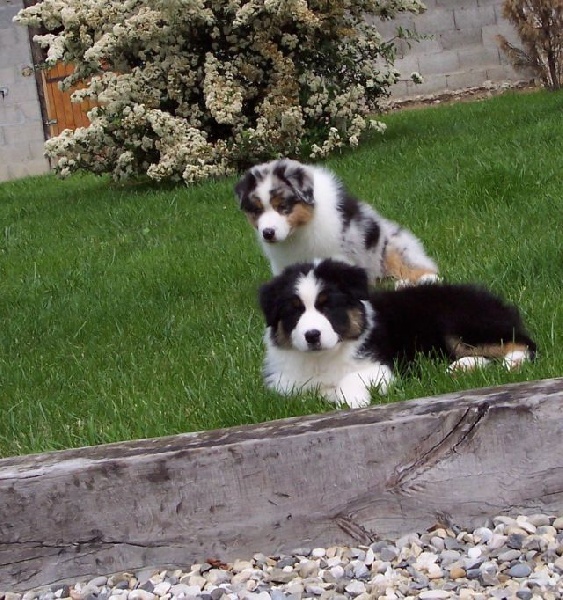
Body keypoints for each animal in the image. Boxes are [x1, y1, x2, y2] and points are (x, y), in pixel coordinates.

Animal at [236, 158, 438, 288]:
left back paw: (417, 281)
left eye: (283, 206)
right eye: (257, 211)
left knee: (422, 268)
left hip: (391, 248)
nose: (268, 233)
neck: (299, 230)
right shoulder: (281, 262)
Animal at [260, 258, 536, 408]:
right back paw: (460, 368)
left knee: (523, 343)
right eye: (294, 311)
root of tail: (493, 299)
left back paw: (513, 363)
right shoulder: (287, 384)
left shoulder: (386, 365)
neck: (322, 359)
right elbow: (303, 392)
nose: (312, 335)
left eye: (327, 306)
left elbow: (351, 378)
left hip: (460, 322)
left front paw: (352, 401)